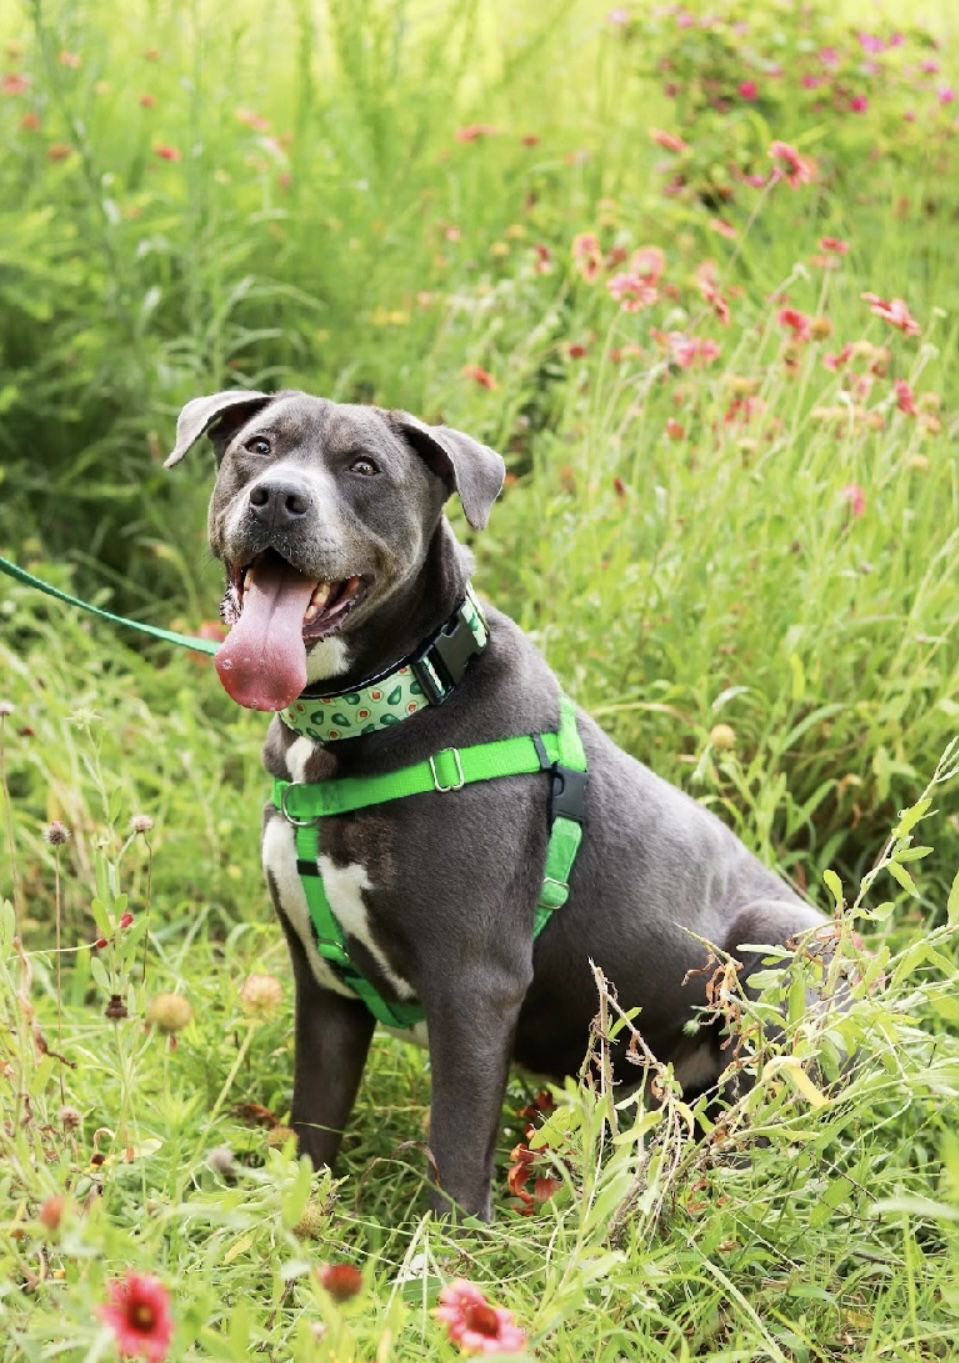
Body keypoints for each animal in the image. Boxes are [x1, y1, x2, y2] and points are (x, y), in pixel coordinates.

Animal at [164, 389, 822, 1221]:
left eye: (363, 466)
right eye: (258, 446)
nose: (279, 498)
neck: (387, 706)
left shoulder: (474, 983)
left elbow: (453, 1148)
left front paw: (441, 1253)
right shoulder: (323, 984)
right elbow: (314, 1119)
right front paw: (296, 1219)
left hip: (778, 941)